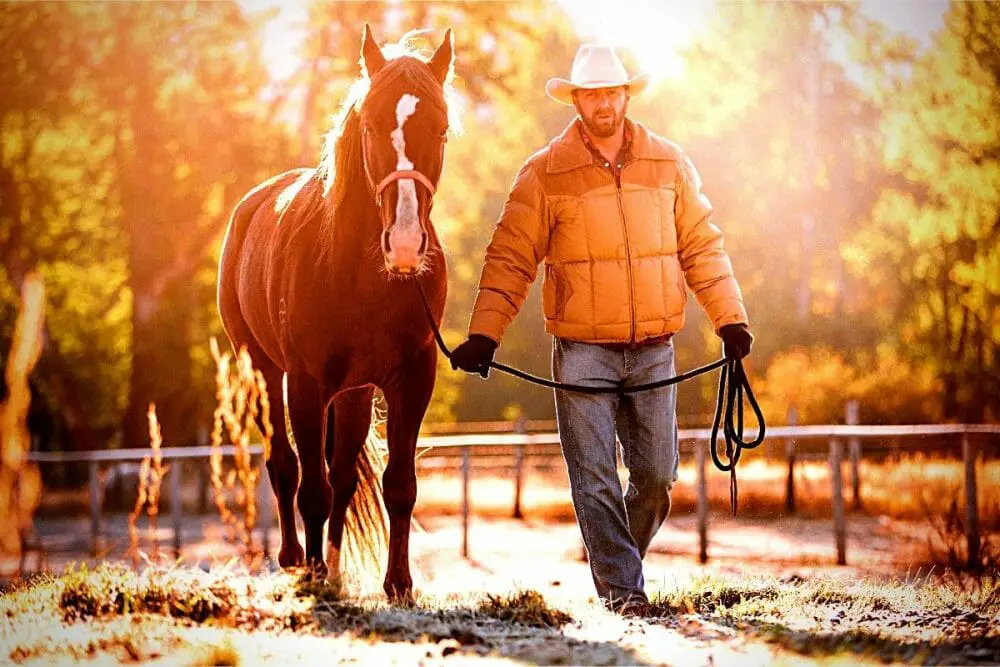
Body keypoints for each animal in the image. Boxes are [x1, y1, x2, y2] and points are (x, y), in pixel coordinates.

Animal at [216, 25, 455, 601]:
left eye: (440, 130)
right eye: (370, 125)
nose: (406, 244)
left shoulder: (413, 379)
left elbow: (398, 485)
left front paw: (398, 585)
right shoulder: (304, 382)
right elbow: (311, 488)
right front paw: (316, 578)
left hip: (354, 392)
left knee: (343, 474)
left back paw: (335, 565)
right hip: (262, 371)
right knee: (285, 466)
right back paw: (296, 560)